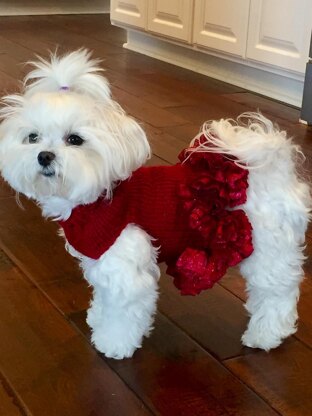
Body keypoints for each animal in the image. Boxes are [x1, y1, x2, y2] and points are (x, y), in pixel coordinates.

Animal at [0, 50, 310, 360]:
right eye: (32, 137)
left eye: (74, 139)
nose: (44, 156)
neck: (97, 198)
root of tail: (273, 170)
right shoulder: (102, 261)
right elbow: (104, 295)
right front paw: (97, 317)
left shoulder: (125, 265)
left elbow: (122, 311)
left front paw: (113, 343)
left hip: (266, 249)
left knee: (276, 293)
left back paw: (266, 335)